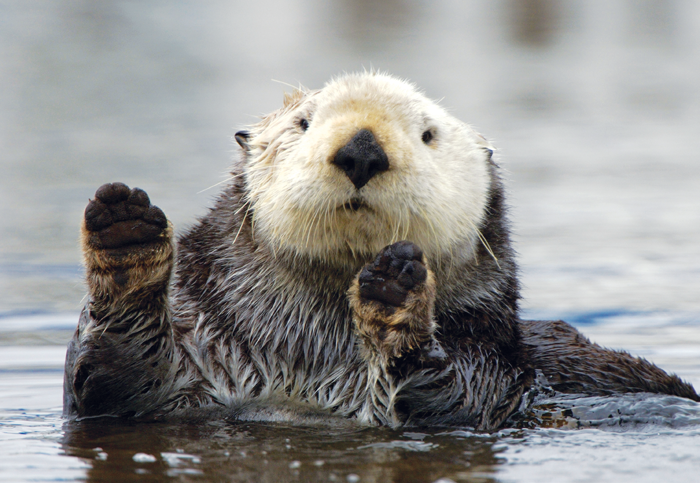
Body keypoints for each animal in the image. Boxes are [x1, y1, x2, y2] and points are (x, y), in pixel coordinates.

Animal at [63, 72, 696, 432]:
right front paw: (126, 234)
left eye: (428, 134)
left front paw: (395, 300)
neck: (308, 350)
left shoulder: (490, 364)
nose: (362, 149)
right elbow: (112, 377)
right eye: (303, 121)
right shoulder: (195, 344)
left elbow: (445, 396)